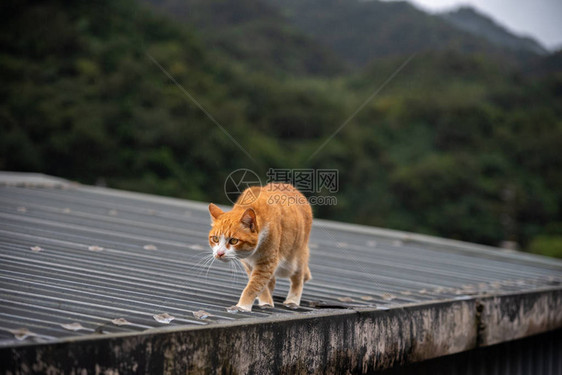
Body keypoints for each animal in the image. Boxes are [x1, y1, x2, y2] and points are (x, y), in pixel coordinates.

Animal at [208, 184, 310, 312]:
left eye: (233, 241)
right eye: (215, 239)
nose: (219, 253)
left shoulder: (266, 263)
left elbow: (253, 286)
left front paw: (242, 306)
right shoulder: (248, 265)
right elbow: (261, 286)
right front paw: (266, 301)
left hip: (296, 258)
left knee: (298, 278)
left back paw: (292, 301)